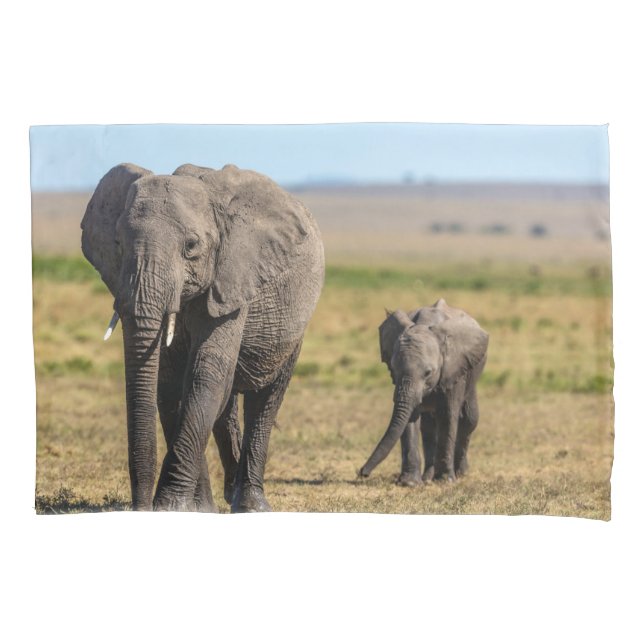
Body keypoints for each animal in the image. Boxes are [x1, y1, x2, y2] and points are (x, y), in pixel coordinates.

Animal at [81, 162, 325, 512]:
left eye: (191, 246)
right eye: (117, 242)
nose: (140, 507)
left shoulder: (232, 280)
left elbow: (205, 375)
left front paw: (170, 507)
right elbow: (169, 384)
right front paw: (195, 509)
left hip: (294, 325)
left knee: (264, 399)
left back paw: (251, 505)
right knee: (226, 404)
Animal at [359, 299, 488, 485]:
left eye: (428, 373)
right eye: (394, 370)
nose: (362, 472)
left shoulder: (453, 369)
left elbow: (448, 415)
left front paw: (445, 481)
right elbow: (410, 418)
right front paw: (409, 483)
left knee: (469, 420)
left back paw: (461, 474)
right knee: (428, 428)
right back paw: (427, 477)